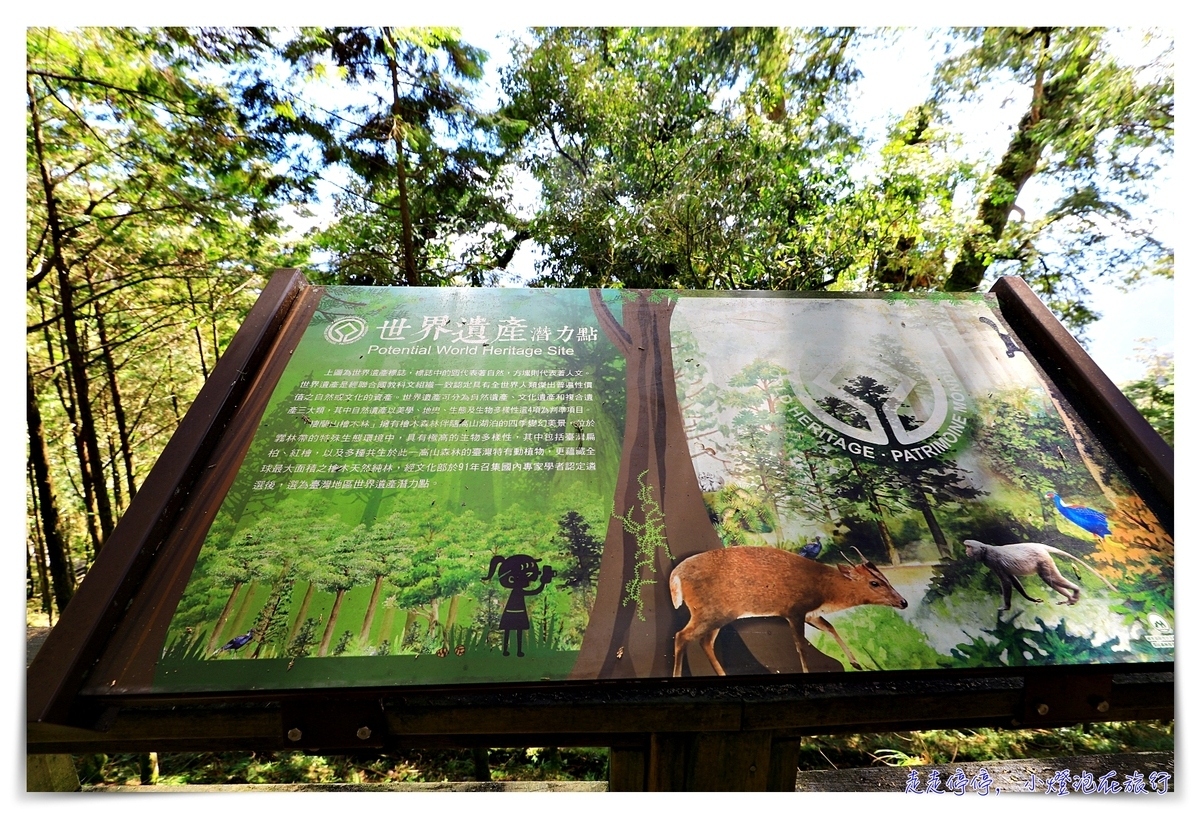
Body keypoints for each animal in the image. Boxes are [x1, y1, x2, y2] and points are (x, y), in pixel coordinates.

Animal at [672, 544, 902, 671]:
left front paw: (855, 663)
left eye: (885, 577)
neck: (826, 591)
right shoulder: (795, 610)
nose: (903, 602)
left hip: (718, 615)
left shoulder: (811, 614)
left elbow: (830, 627)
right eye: (875, 583)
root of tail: (675, 577)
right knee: (682, 636)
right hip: (710, 612)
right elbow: (801, 645)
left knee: (705, 642)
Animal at [960, 534, 1118, 611]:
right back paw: (1070, 598)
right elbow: (1013, 580)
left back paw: (1076, 591)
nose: (966, 551)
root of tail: (1040, 546)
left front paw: (1006, 607)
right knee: (1050, 580)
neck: (986, 549)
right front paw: (1031, 599)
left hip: (1043, 560)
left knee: (1049, 578)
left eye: (969, 546)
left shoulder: (993, 561)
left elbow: (1006, 582)